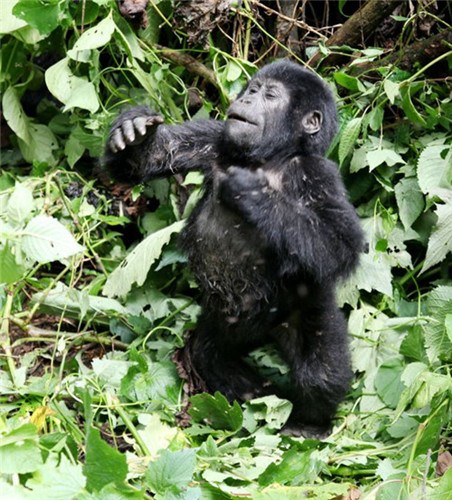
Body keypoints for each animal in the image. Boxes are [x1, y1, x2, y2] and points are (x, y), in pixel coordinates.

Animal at [104, 58, 362, 436]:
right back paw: (254, 395)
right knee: (211, 353)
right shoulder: (216, 138)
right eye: (253, 89)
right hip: (225, 320)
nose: (248, 99)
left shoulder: (317, 174)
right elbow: (156, 157)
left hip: (305, 307)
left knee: (322, 373)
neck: (271, 158)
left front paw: (253, 195)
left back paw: (309, 423)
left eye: (270, 96)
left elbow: (342, 242)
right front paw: (133, 134)